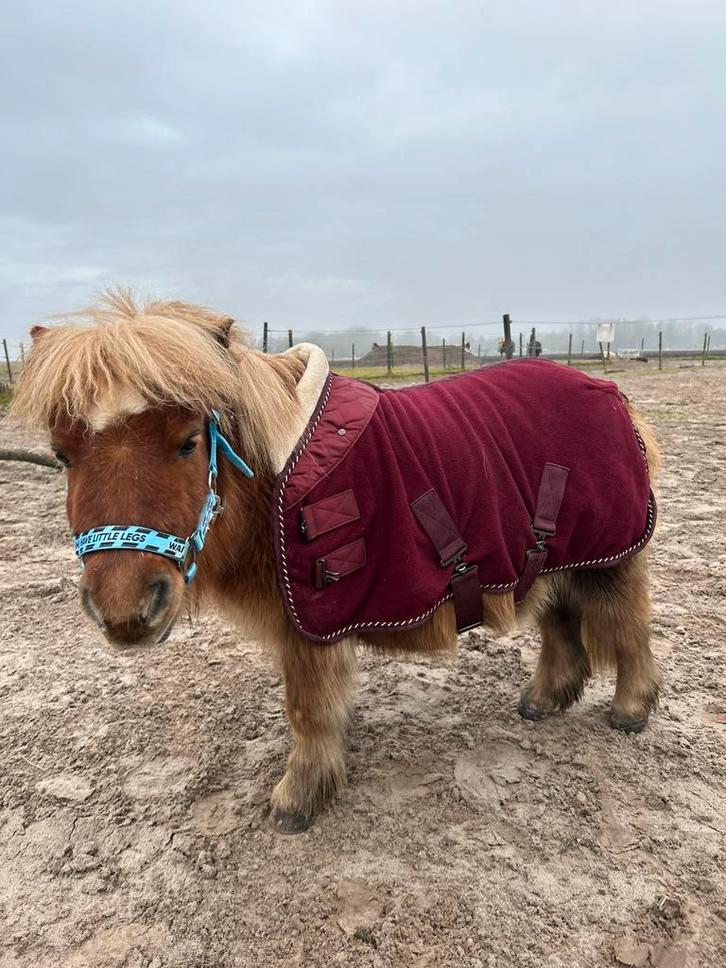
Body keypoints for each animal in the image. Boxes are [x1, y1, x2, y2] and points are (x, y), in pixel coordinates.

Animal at [13, 291, 662, 833]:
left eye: (189, 442)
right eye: (61, 454)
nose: (124, 611)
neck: (275, 479)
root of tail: (611, 395)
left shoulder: (311, 623)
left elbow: (308, 710)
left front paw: (298, 800)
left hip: (606, 555)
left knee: (627, 625)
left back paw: (630, 711)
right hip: (554, 557)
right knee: (561, 619)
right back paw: (544, 700)